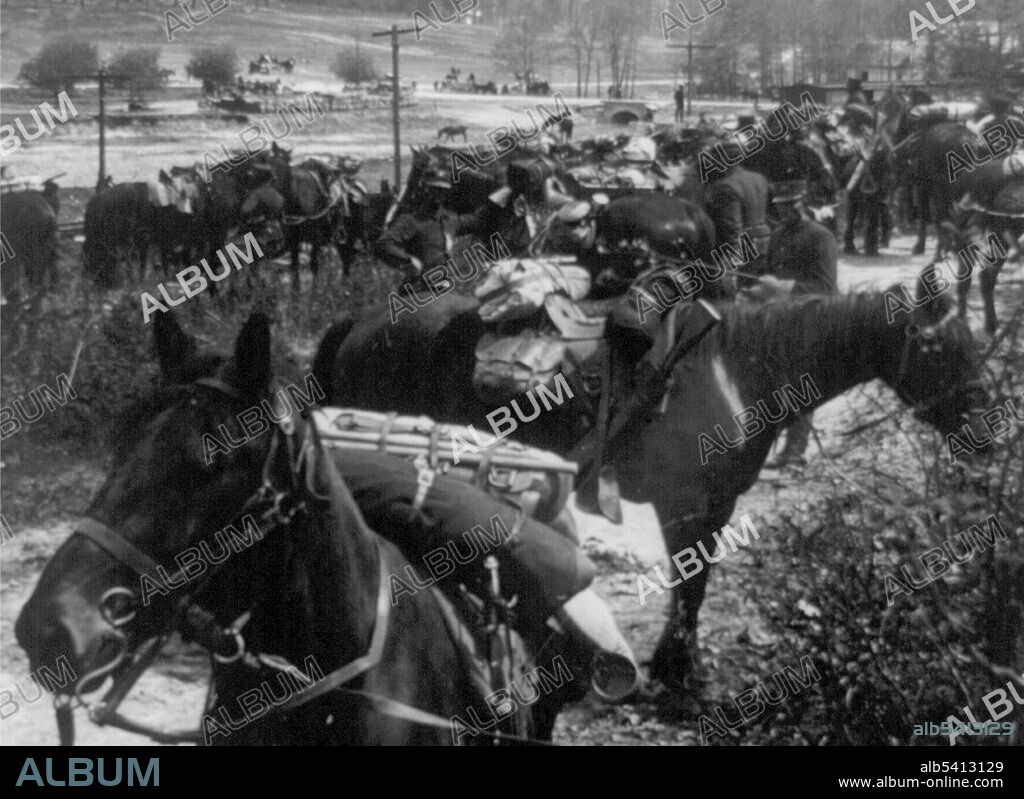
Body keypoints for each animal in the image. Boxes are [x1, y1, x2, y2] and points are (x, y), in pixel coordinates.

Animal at [313, 266, 991, 692]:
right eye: (939, 349)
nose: (986, 432)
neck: (735, 370)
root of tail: (359, 323)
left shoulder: (716, 504)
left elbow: (696, 585)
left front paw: (675, 665)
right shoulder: (686, 505)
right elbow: (690, 583)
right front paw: (681, 672)